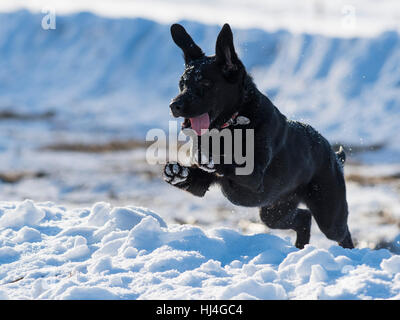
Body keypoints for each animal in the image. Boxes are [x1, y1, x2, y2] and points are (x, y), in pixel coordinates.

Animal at [162, 23, 354, 249]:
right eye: (182, 83)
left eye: (206, 83)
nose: (174, 105)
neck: (232, 123)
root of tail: (335, 157)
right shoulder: (204, 183)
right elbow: (195, 175)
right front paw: (176, 172)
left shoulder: (254, 176)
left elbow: (232, 163)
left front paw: (213, 159)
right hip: (274, 211)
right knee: (304, 218)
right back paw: (299, 248)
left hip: (328, 214)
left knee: (342, 233)